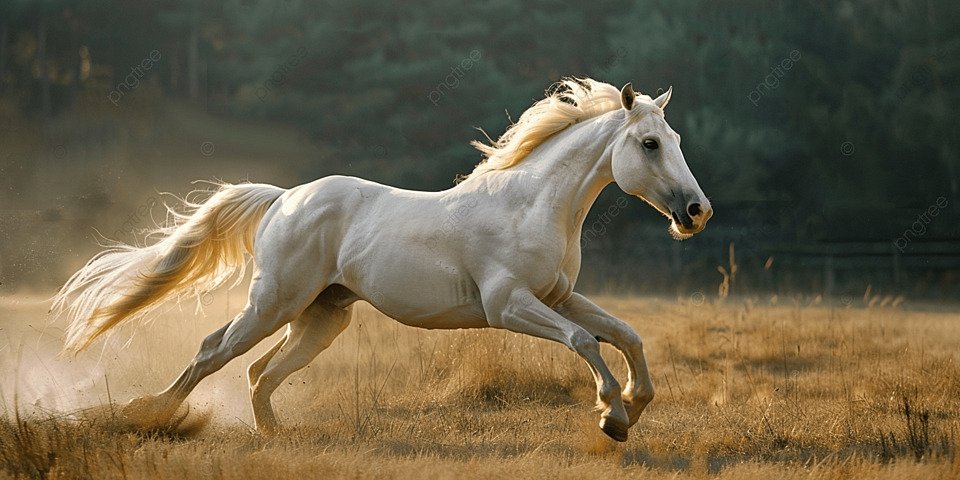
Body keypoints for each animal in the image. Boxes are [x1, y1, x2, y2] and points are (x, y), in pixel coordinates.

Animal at [52, 78, 712, 442]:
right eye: (650, 143)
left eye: (677, 140)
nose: (696, 211)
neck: (530, 206)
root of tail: (284, 199)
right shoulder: (509, 306)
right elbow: (584, 342)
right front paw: (613, 417)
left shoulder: (558, 297)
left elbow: (624, 334)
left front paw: (635, 404)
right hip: (273, 303)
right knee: (215, 350)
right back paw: (151, 415)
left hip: (322, 317)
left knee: (260, 372)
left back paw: (272, 434)